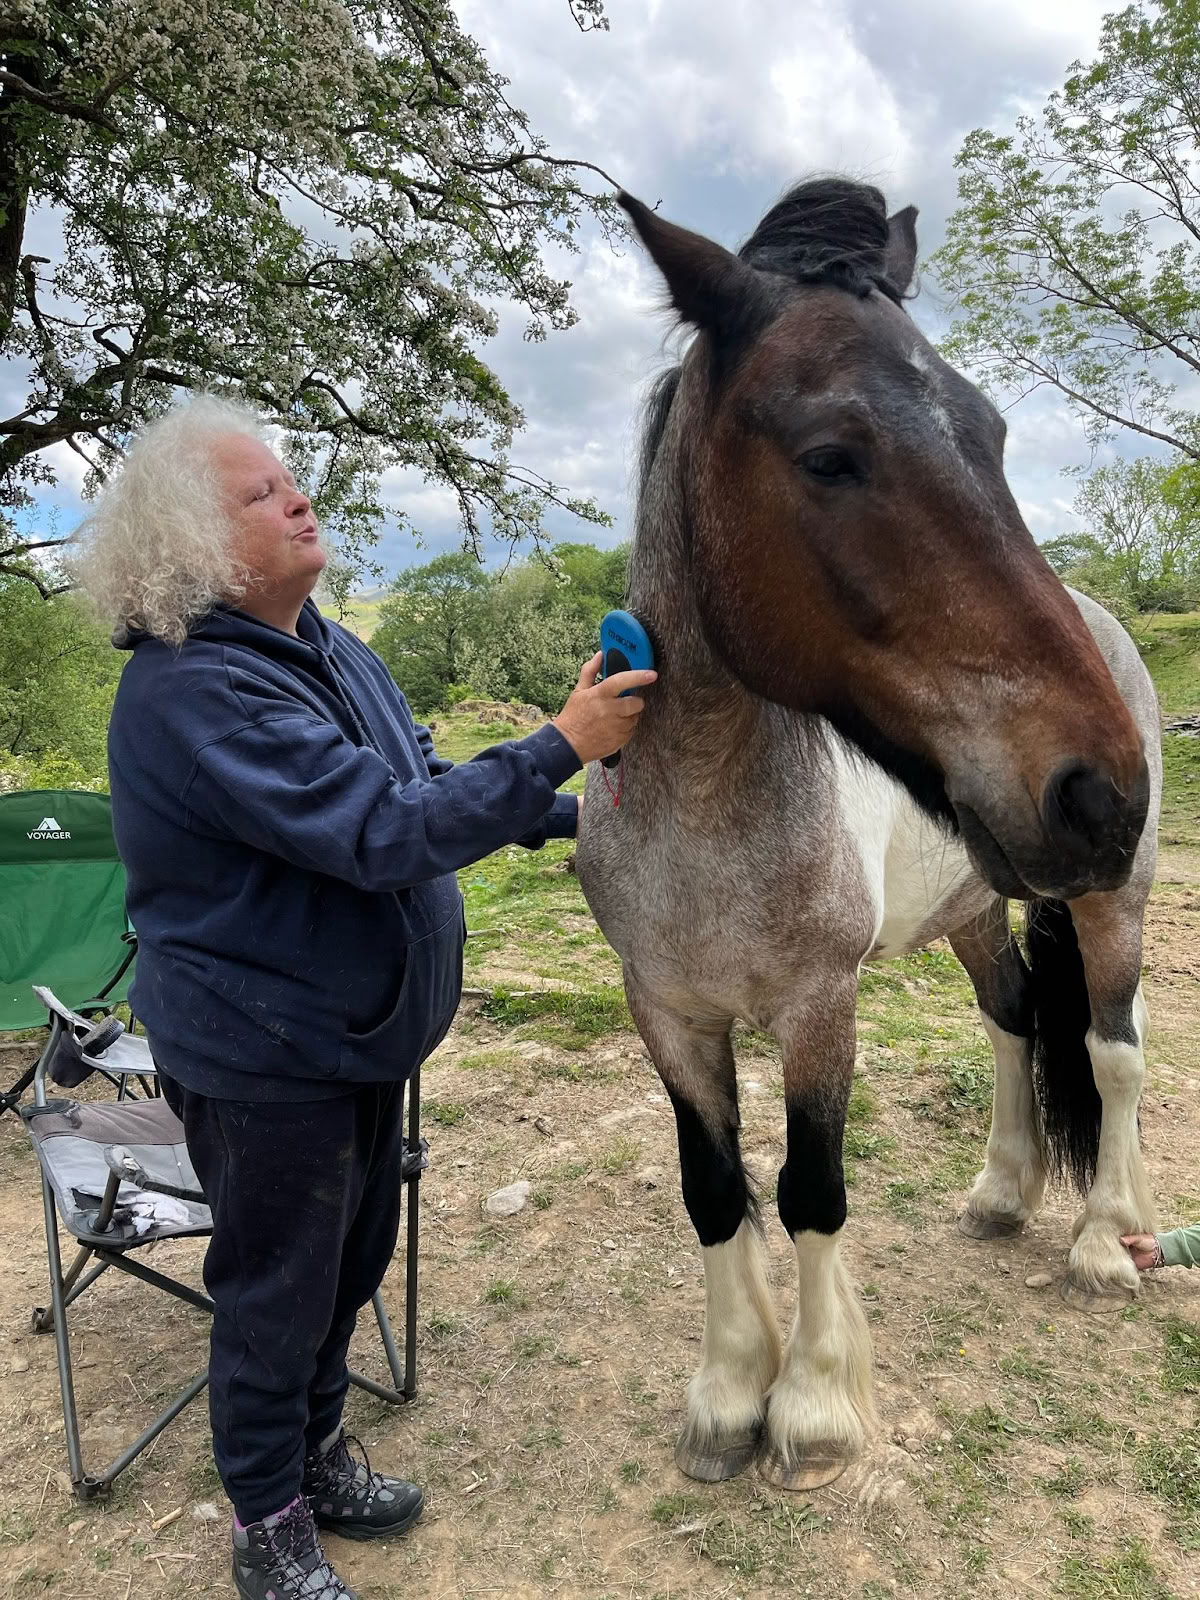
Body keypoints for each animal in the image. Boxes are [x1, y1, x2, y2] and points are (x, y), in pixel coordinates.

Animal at [575, 177, 1160, 1494]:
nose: (1100, 792)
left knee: (1113, 1053)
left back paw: (1108, 1236)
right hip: (979, 909)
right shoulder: (667, 1011)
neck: (707, 807)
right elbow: (710, 1188)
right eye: (831, 456)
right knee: (1014, 1019)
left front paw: (812, 1409)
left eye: (993, 437)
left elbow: (810, 1189)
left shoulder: (817, 1006)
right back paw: (1005, 1194)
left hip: (1114, 902)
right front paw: (727, 1394)